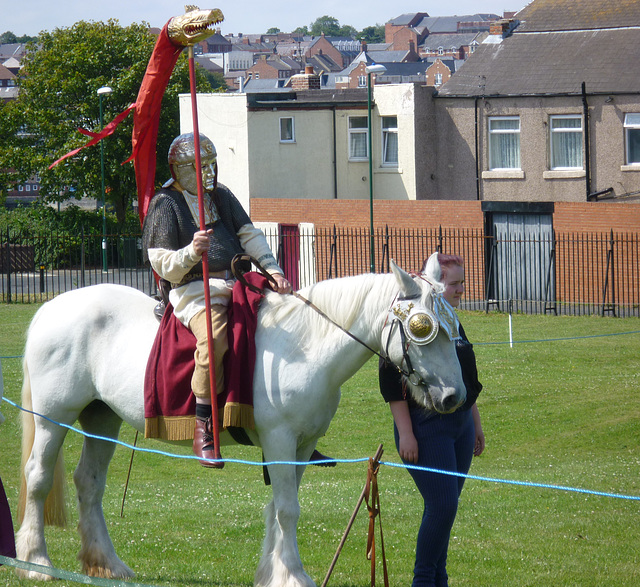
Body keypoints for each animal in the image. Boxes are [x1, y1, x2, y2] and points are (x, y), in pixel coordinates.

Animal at [15, 262, 464, 587]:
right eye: (422, 328)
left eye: (454, 328)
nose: (454, 397)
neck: (307, 347)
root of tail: (49, 310)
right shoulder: (280, 441)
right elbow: (287, 509)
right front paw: (293, 576)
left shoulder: (301, 445)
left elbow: (278, 508)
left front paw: (272, 573)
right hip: (54, 417)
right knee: (37, 477)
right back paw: (36, 561)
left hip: (101, 417)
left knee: (89, 483)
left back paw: (107, 564)